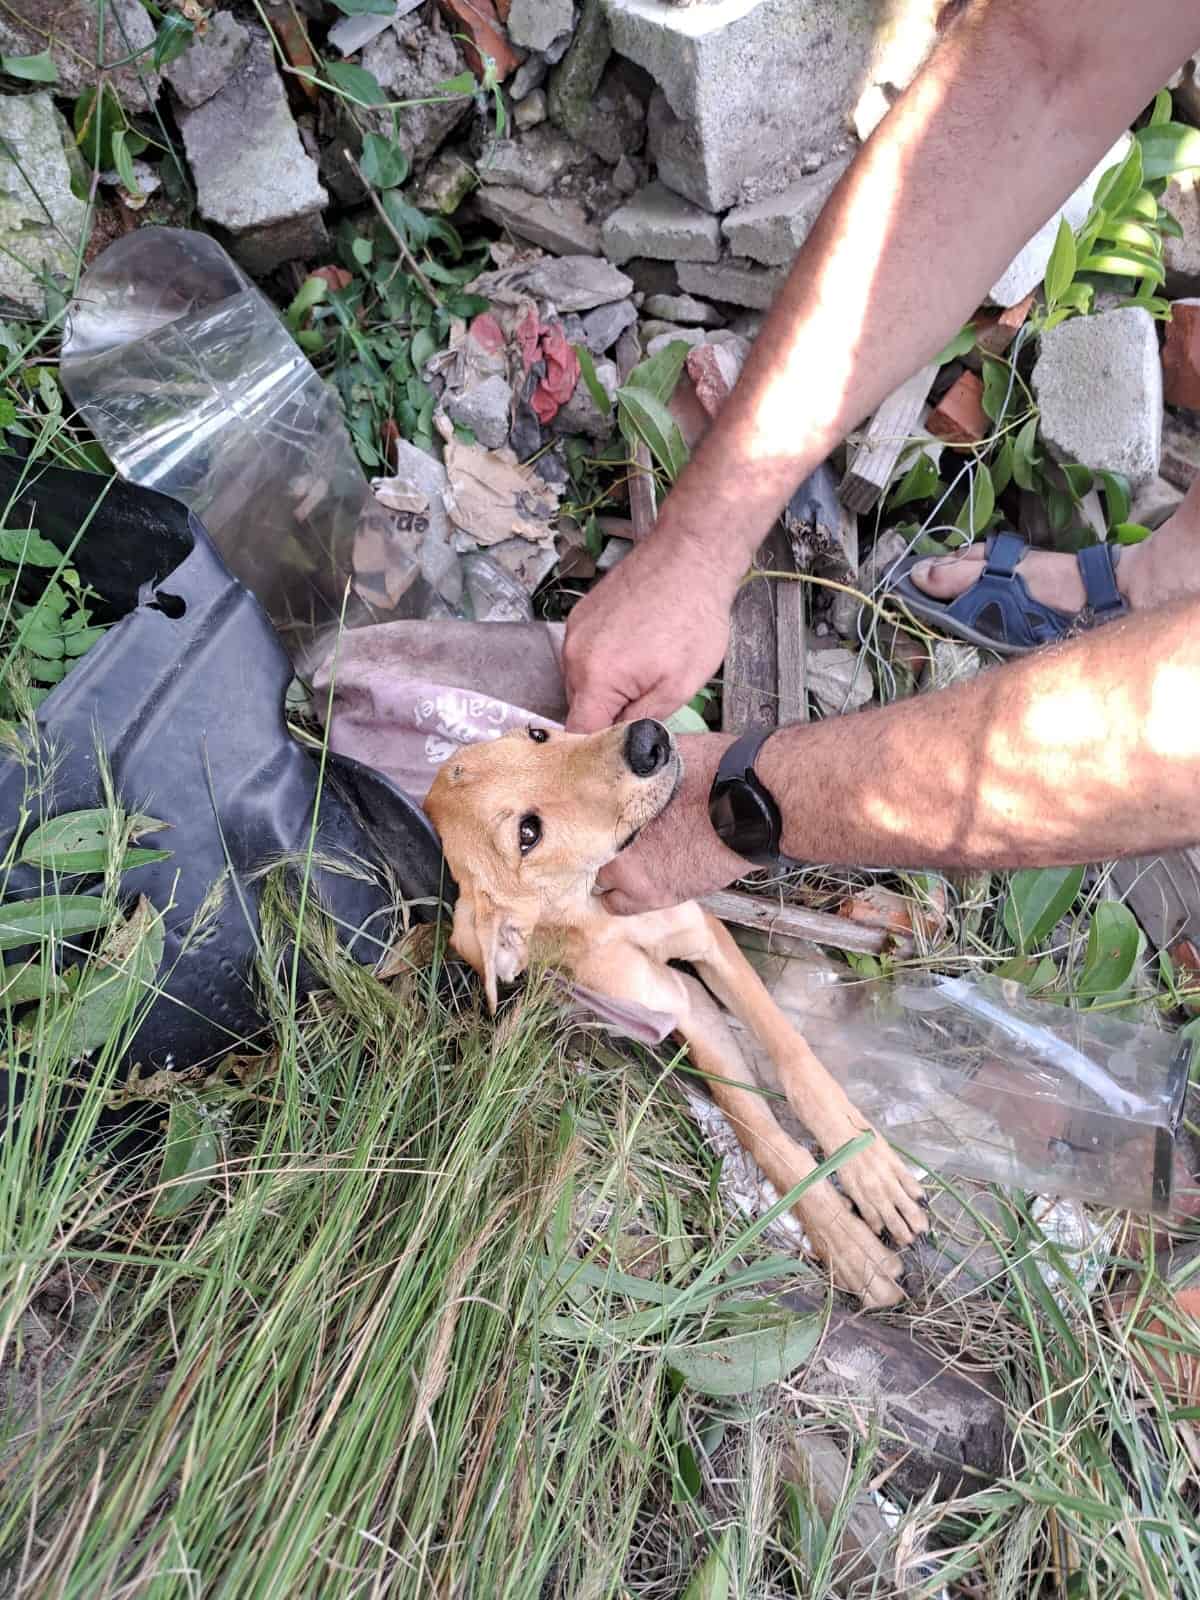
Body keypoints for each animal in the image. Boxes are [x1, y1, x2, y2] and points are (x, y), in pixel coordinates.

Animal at [425, 720, 928, 1305]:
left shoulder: (706, 939)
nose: (648, 740)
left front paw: (866, 1164)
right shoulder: (683, 1007)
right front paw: (843, 1239)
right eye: (528, 834)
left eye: (537, 735)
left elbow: (794, 1057)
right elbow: (758, 1129)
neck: (598, 911)